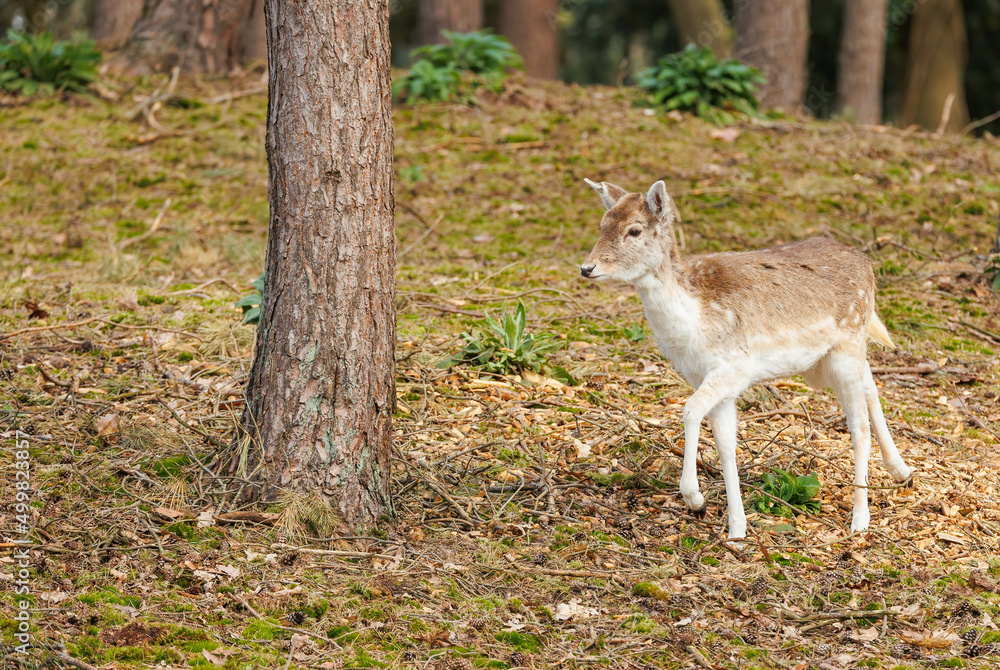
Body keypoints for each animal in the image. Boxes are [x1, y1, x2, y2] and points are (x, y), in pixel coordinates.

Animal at [579, 178, 913, 540]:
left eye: (634, 230)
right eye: (602, 225)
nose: (587, 268)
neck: (692, 322)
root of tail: (866, 263)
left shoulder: (733, 367)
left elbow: (690, 409)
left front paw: (695, 498)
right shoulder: (707, 377)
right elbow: (726, 446)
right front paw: (736, 530)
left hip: (846, 345)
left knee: (859, 426)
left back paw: (860, 519)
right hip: (825, 362)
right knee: (870, 382)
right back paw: (901, 470)